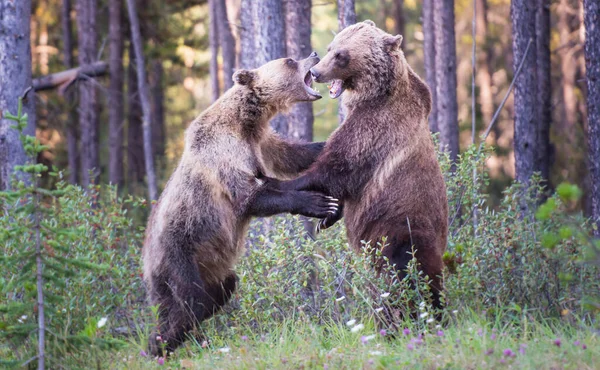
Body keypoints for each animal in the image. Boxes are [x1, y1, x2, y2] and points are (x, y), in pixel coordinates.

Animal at [142, 52, 338, 356]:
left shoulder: (260, 143)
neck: (246, 120)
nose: (314, 54)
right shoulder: (224, 152)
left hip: (209, 264)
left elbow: (290, 158)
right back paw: (161, 344)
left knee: (223, 288)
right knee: (187, 300)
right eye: (290, 60)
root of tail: (143, 258)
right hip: (177, 251)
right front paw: (317, 202)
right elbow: (250, 196)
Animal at [270, 21, 448, 312]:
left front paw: (282, 185)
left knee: (406, 274)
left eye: (341, 55)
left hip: (401, 228)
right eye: (330, 48)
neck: (374, 93)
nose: (316, 72)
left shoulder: (376, 126)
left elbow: (337, 166)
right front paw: (327, 217)